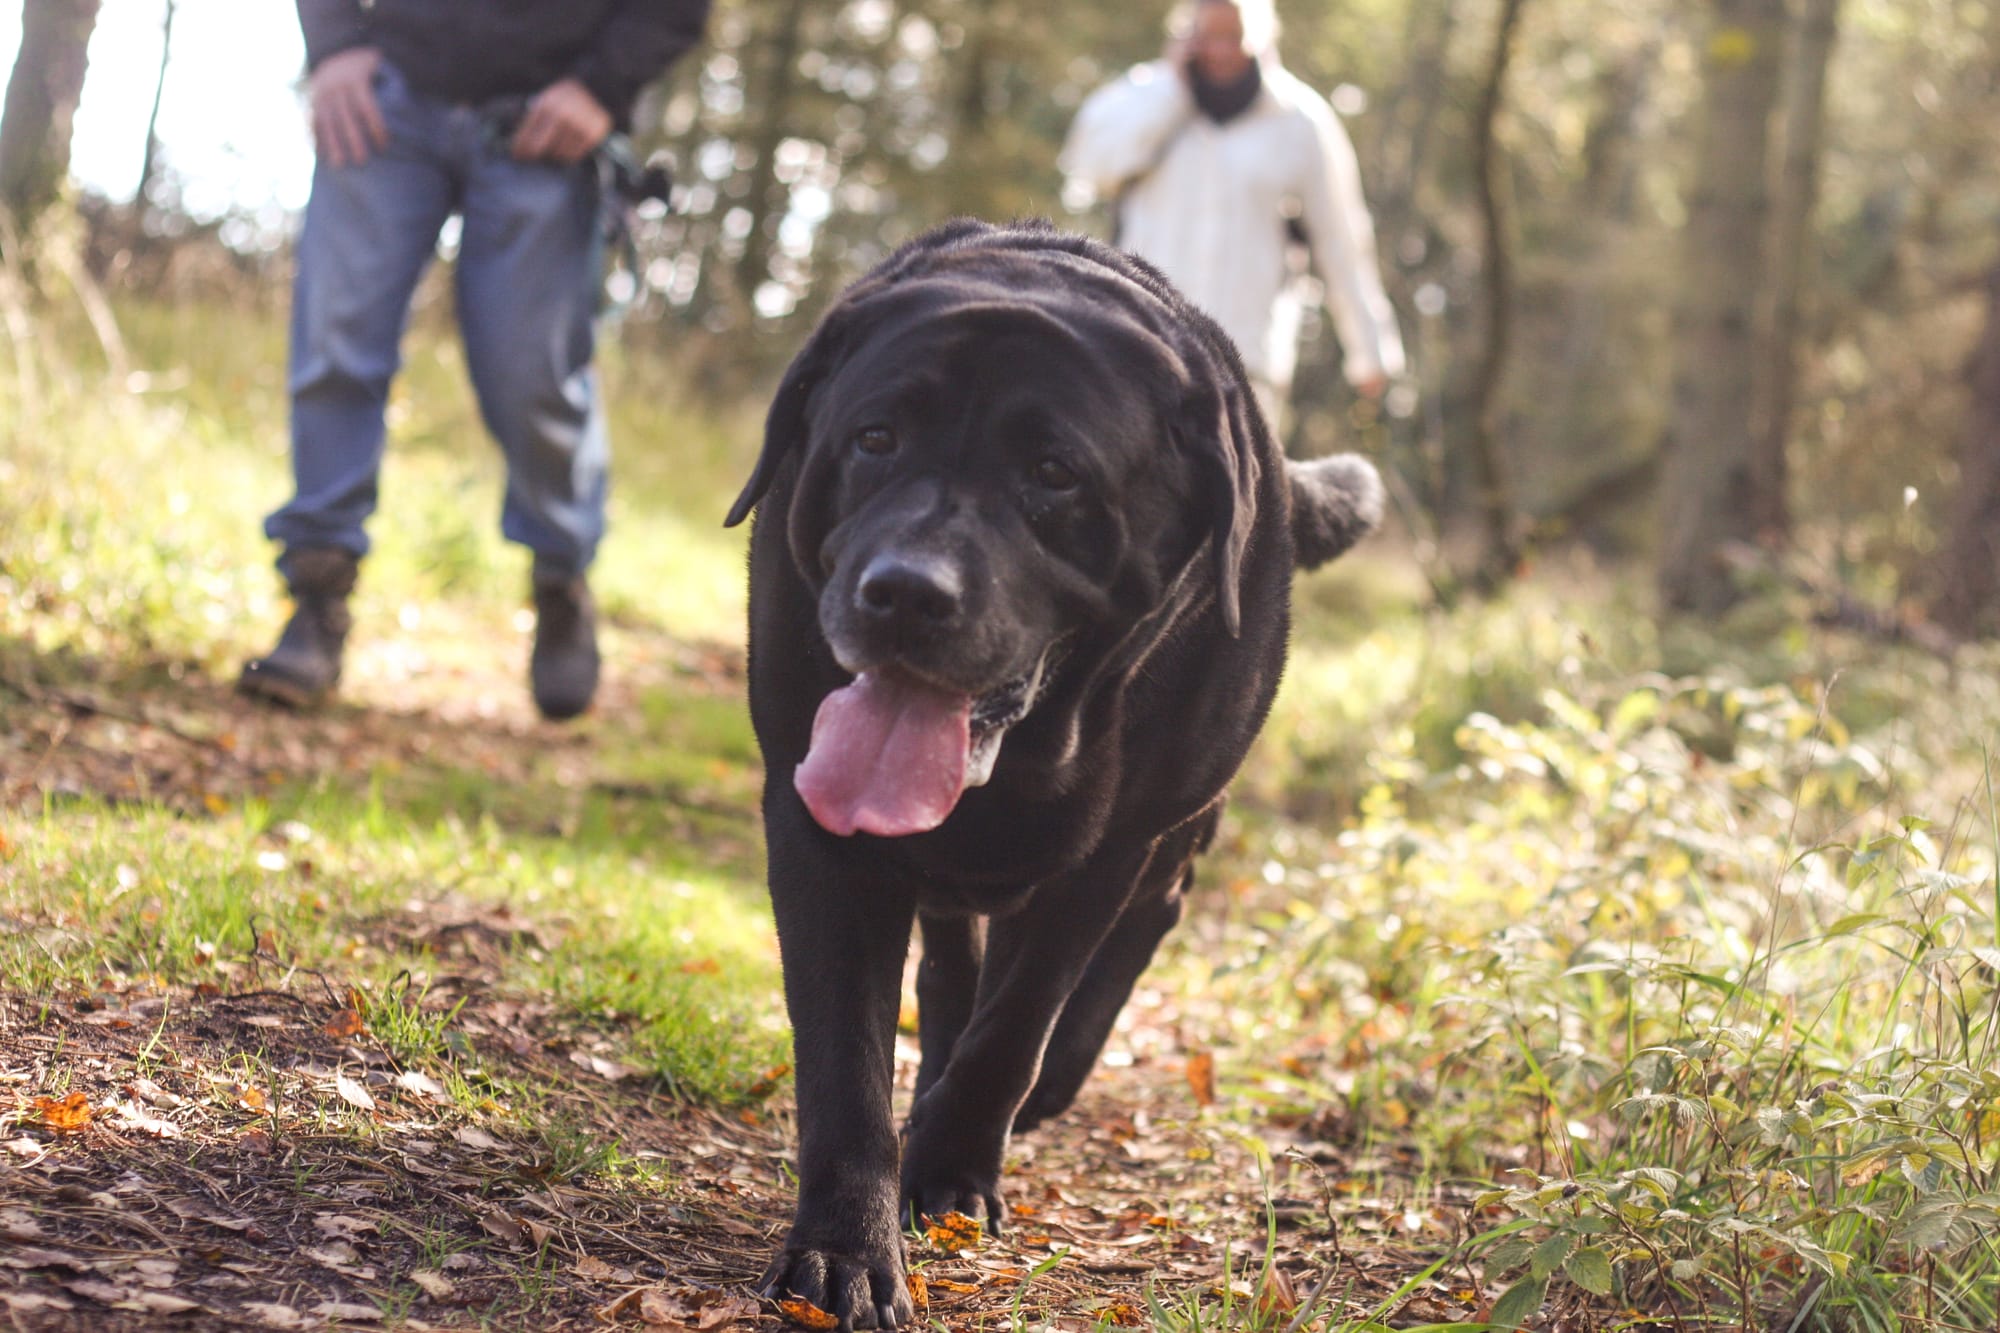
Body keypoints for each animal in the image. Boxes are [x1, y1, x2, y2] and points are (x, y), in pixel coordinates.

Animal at [724, 219, 1382, 1329]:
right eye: (873, 439)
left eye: (1054, 471)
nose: (905, 592)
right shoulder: (819, 826)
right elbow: (846, 1059)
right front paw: (844, 1251)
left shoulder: (1107, 853)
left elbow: (1017, 1027)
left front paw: (951, 1170)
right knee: (952, 962)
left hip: (1172, 832)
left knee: (1134, 933)